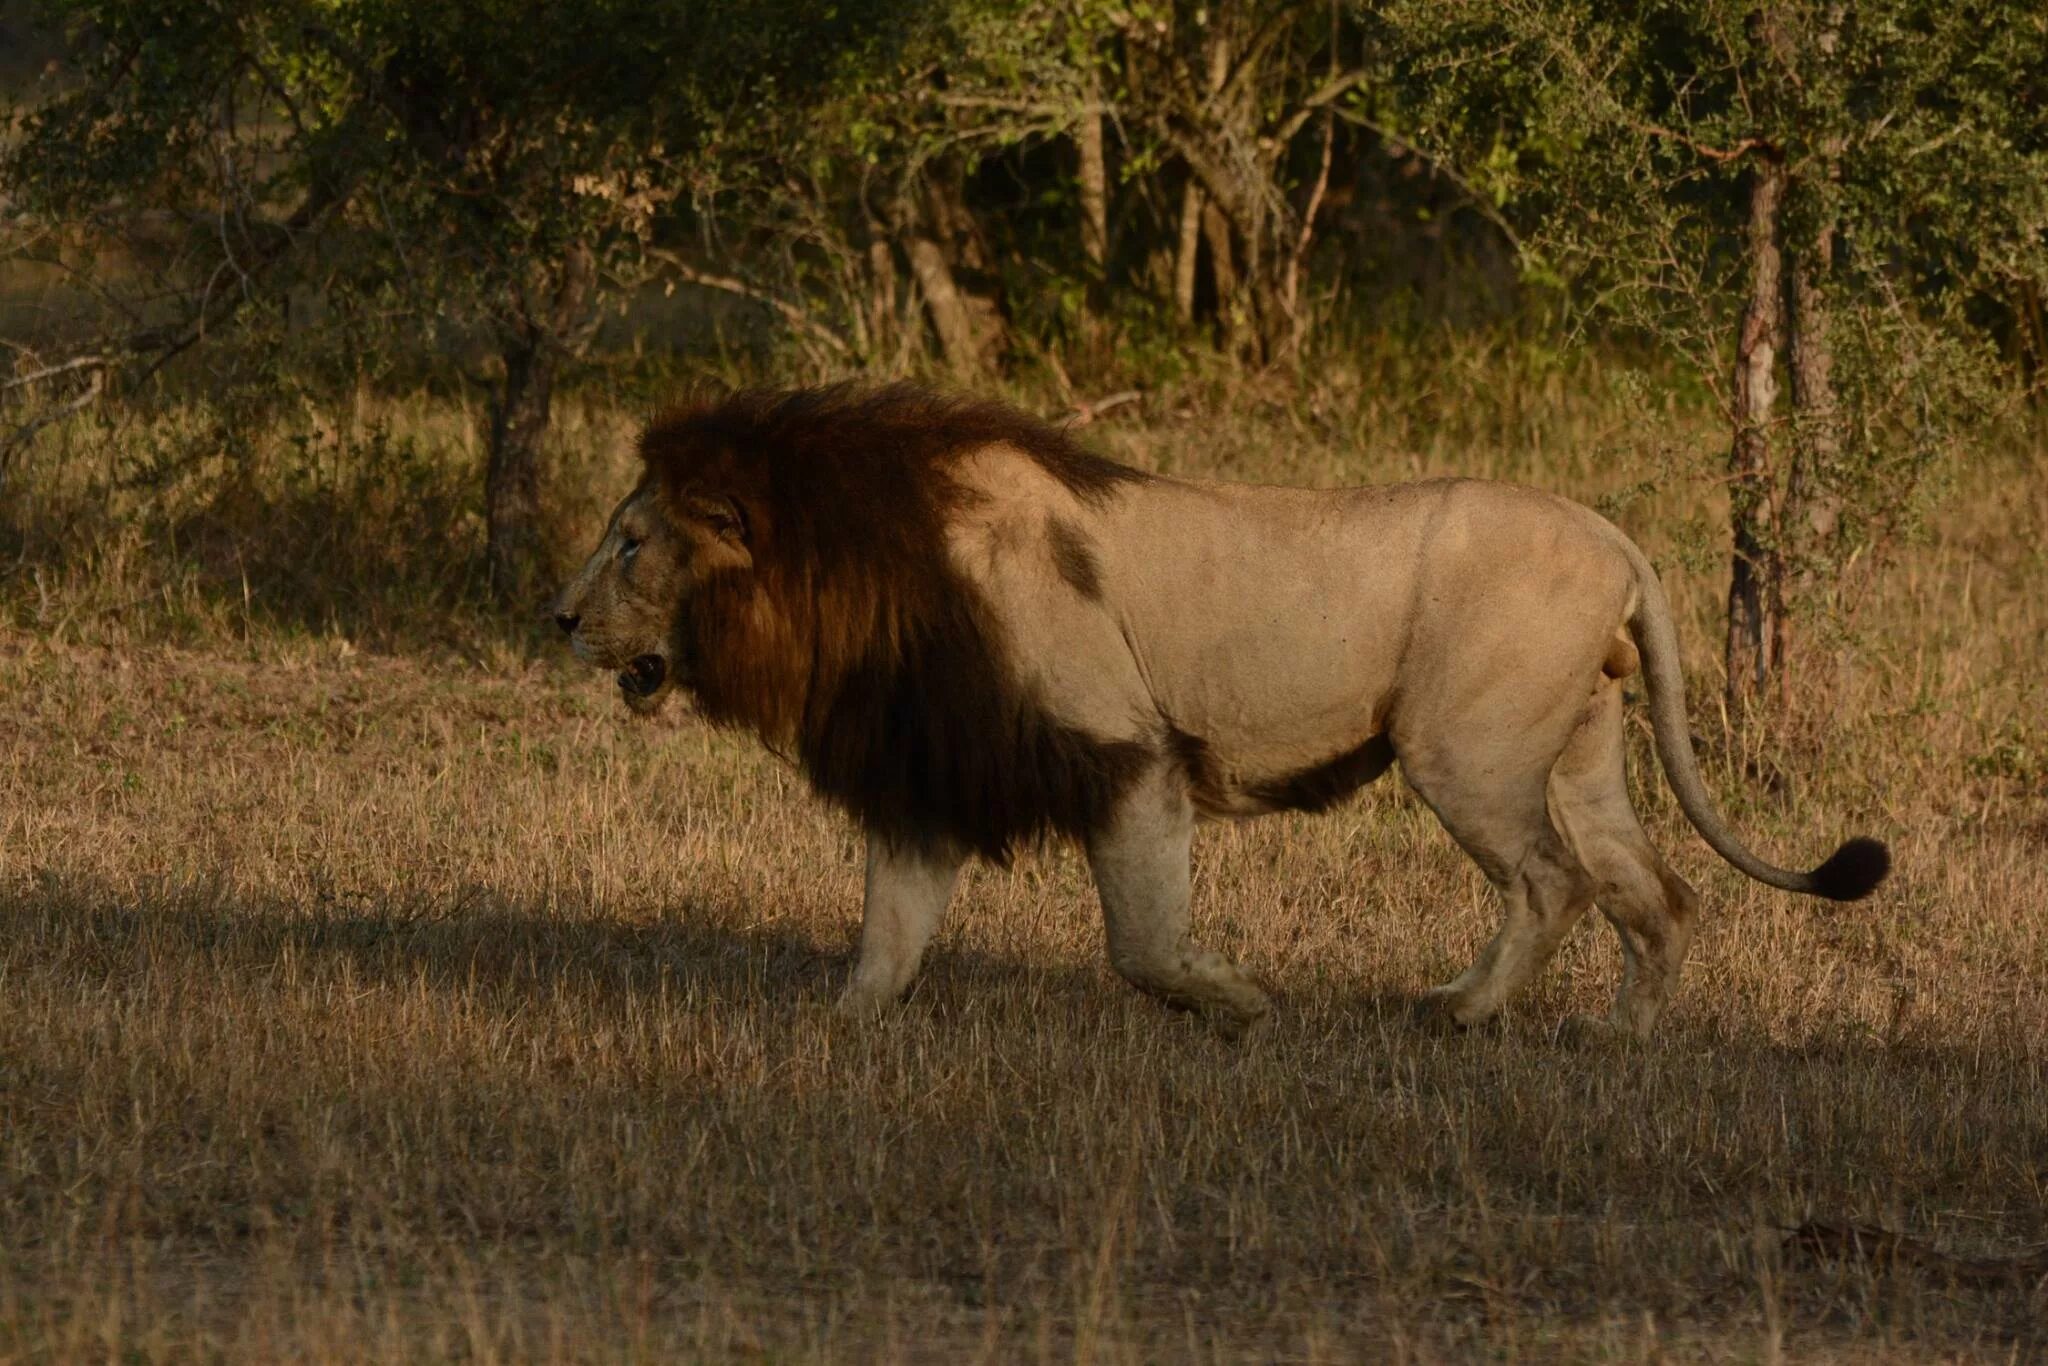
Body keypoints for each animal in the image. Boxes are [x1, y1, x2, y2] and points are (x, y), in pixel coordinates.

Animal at [548, 378, 1884, 1040]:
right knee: (1653, 894)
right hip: (1580, 753)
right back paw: (1624, 1036)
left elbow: (1139, 943)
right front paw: (836, 1030)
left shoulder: (1122, 747)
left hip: (1462, 749)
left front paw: (1240, 1005)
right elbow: (886, 937)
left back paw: (1458, 1012)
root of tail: (1615, 537)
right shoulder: (934, 769)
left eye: (630, 544)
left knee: (1551, 883)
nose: (556, 617)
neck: (856, 574)